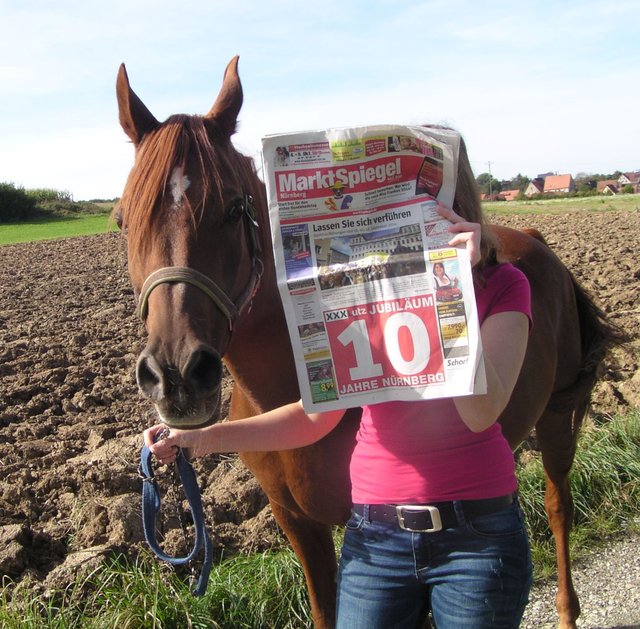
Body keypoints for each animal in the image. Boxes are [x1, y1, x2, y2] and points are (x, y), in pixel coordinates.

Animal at [114, 56, 622, 629]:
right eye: (123, 219)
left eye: (231, 209)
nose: (177, 375)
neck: (280, 387)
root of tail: (535, 241)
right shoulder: (300, 525)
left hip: (557, 414)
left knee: (559, 507)